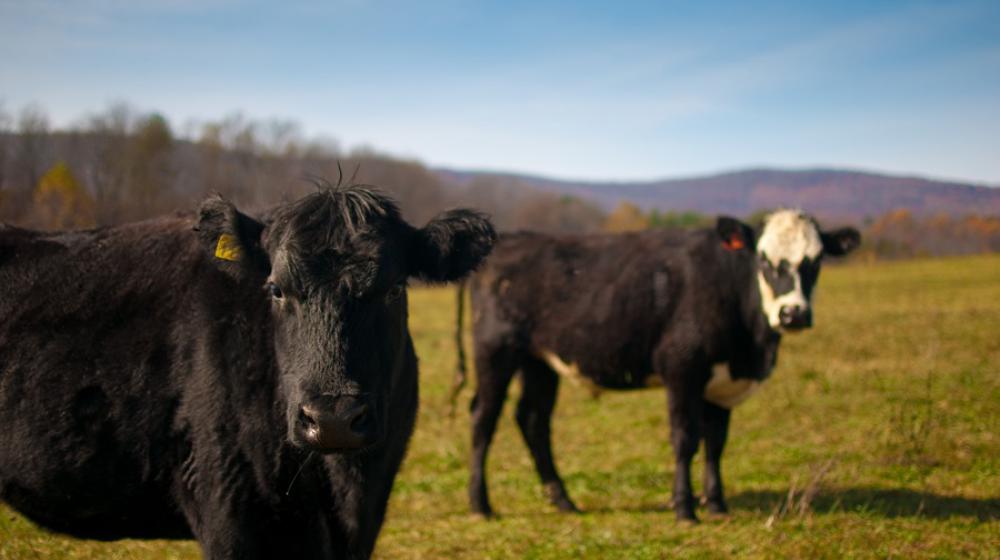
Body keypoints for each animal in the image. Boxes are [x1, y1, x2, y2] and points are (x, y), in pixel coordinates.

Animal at [458, 209, 856, 520]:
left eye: (816, 261)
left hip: (538, 361)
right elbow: (685, 439)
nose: (793, 314)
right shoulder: (681, 367)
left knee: (533, 420)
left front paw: (717, 505)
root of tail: (508, 239)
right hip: (496, 351)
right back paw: (481, 505)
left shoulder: (721, 384)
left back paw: (563, 500)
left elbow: (716, 443)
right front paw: (685, 508)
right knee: (483, 418)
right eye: (764, 260)